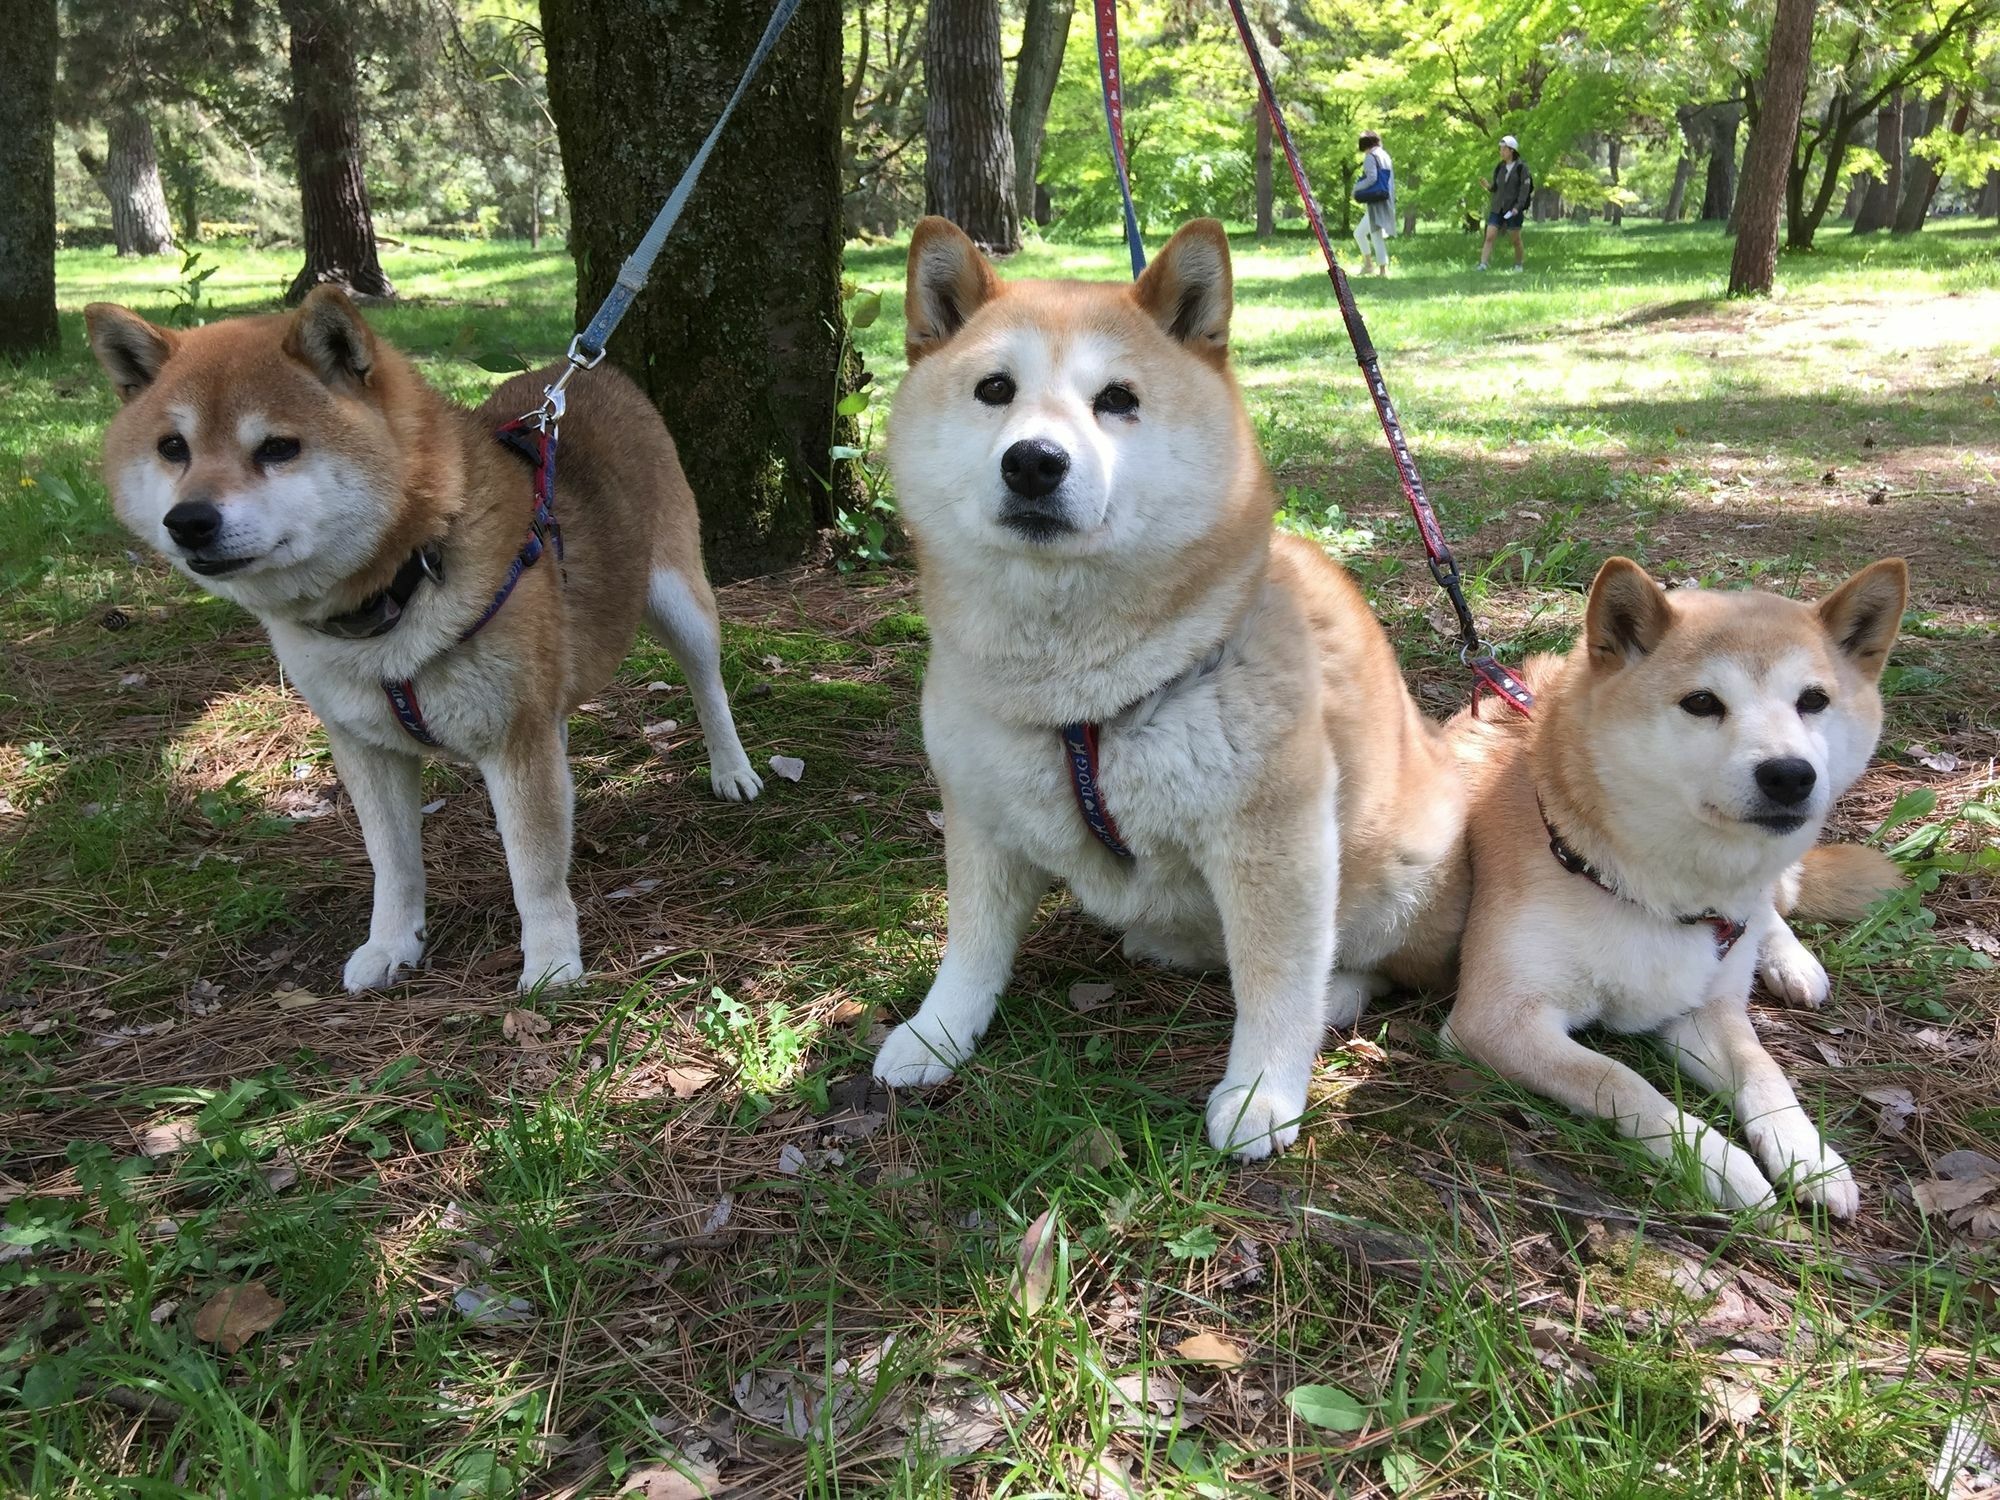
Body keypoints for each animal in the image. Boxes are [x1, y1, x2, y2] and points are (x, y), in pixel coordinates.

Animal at [86, 294, 760, 1000]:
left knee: (707, 684)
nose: (188, 521)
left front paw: (550, 961)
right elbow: (394, 864)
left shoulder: (514, 739)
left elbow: (535, 867)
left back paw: (731, 768)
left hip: (677, 600)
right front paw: (391, 945)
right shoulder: (366, 746)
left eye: (277, 447)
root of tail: (584, 371)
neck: (395, 593)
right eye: (172, 447)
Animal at [876, 217, 1472, 1160]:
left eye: (1118, 399)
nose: (1035, 462)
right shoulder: (981, 815)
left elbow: (1275, 979)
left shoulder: (1274, 842)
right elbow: (969, 948)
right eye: (995, 389)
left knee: (1373, 966)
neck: (1079, 699)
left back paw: (1338, 994)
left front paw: (1263, 1092)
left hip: (1402, 871)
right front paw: (936, 1035)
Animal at [1448, 560, 1896, 1224]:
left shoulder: (1706, 1009)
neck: (1650, 890)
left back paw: (1790, 959)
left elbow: (1764, 1071)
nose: (1790, 774)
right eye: (1702, 702)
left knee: (1771, 906)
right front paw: (1723, 1166)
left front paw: (1807, 1153)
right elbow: (1621, 1082)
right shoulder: (1497, 1019)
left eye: (1813, 701)